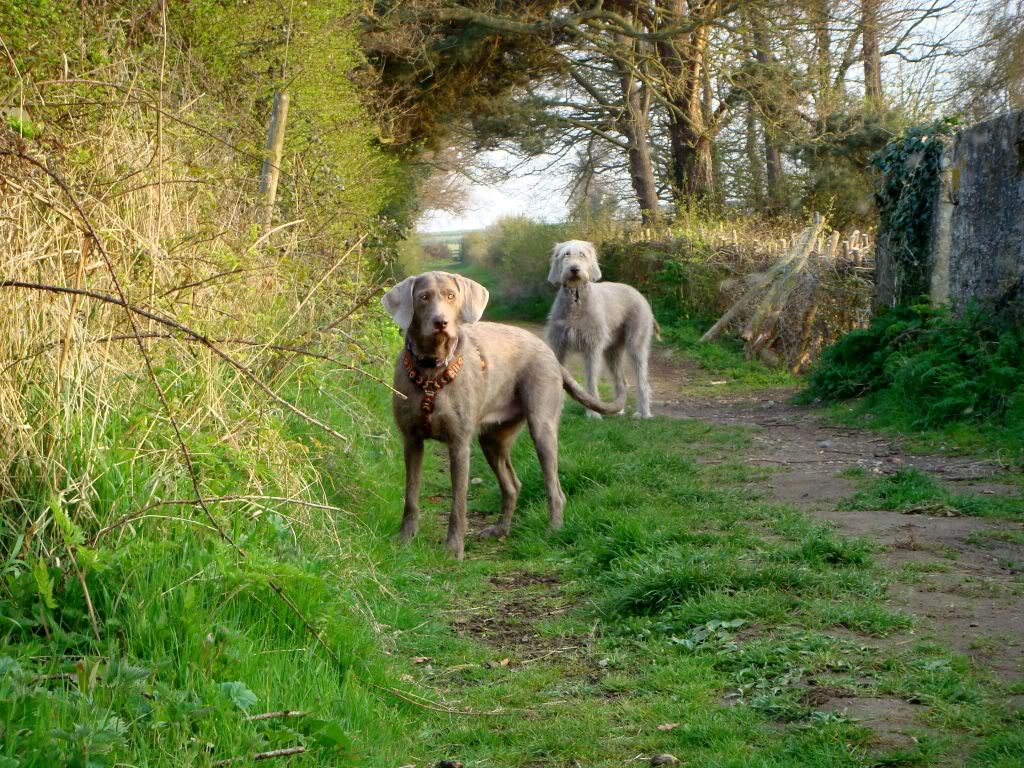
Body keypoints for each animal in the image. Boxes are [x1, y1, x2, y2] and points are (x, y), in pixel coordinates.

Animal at [385, 270, 622, 561]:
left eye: (451, 296)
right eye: (423, 297)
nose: (441, 323)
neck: (431, 370)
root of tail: (550, 354)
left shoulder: (459, 444)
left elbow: (458, 503)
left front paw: (453, 549)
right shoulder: (411, 440)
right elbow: (411, 495)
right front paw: (404, 539)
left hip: (542, 427)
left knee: (555, 489)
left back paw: (553, 530)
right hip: (492, 439)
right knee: (512, 485)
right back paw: (499, 530)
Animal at [548, 240, 659, 421]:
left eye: (582, 254)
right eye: (566, 254)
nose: (574, 269)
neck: (576, 299)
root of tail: (640, 295)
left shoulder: (591, 348)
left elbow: (591, 380)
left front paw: (593, 413)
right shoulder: (559, 345)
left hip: (637, 344)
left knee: (642, 380)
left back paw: (643, 413)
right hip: (612, 351)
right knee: (621, 381)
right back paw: (617, 410)